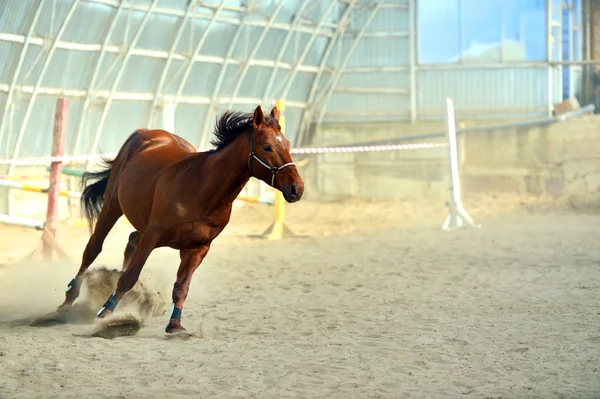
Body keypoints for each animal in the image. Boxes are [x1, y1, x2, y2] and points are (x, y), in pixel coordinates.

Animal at [56, 105, 304, 334]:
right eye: (267, 146)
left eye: (288, 145)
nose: (297, 189)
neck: (202, 188)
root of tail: (144, 133)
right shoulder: (152, 235)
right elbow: (130, 276)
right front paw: (106, 312)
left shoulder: (198, 248)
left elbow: (181, 287)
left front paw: (175, 325)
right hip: (112, 207)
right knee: (93, 249)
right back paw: (68, 300)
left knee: (131, 240)